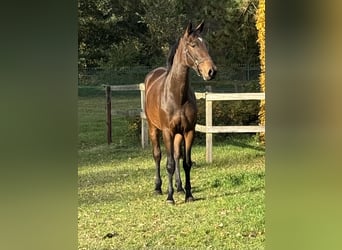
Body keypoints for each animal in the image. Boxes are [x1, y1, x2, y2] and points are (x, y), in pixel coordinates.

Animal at [144, 20, 216, 203]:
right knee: (157, 155)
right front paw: (170, 198)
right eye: (193, 44)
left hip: (178, 134)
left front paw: (189, 194)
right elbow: (169, 164)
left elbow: (186, 163)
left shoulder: (189, 131)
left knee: (177, 155)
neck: (176, 96)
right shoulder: (167, 131)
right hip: (153, 129)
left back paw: (179, 187)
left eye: (206, 44)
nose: (211, 71)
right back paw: (158, 188)